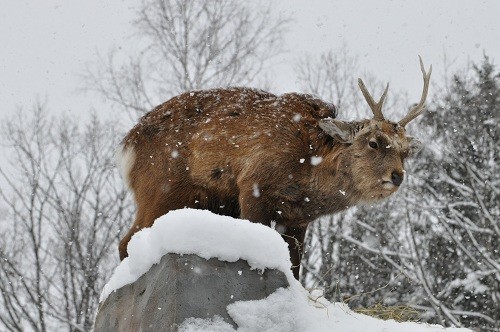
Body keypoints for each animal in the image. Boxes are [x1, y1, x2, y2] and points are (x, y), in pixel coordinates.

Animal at [117, 55, 430, 278]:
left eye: (405, 152)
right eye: (374, 142)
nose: (397, 176)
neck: (309, 168)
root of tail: (126, 146)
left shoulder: (297, 218)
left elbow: (294, 267)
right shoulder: (254, 188)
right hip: (160, 189)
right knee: (126, 241)